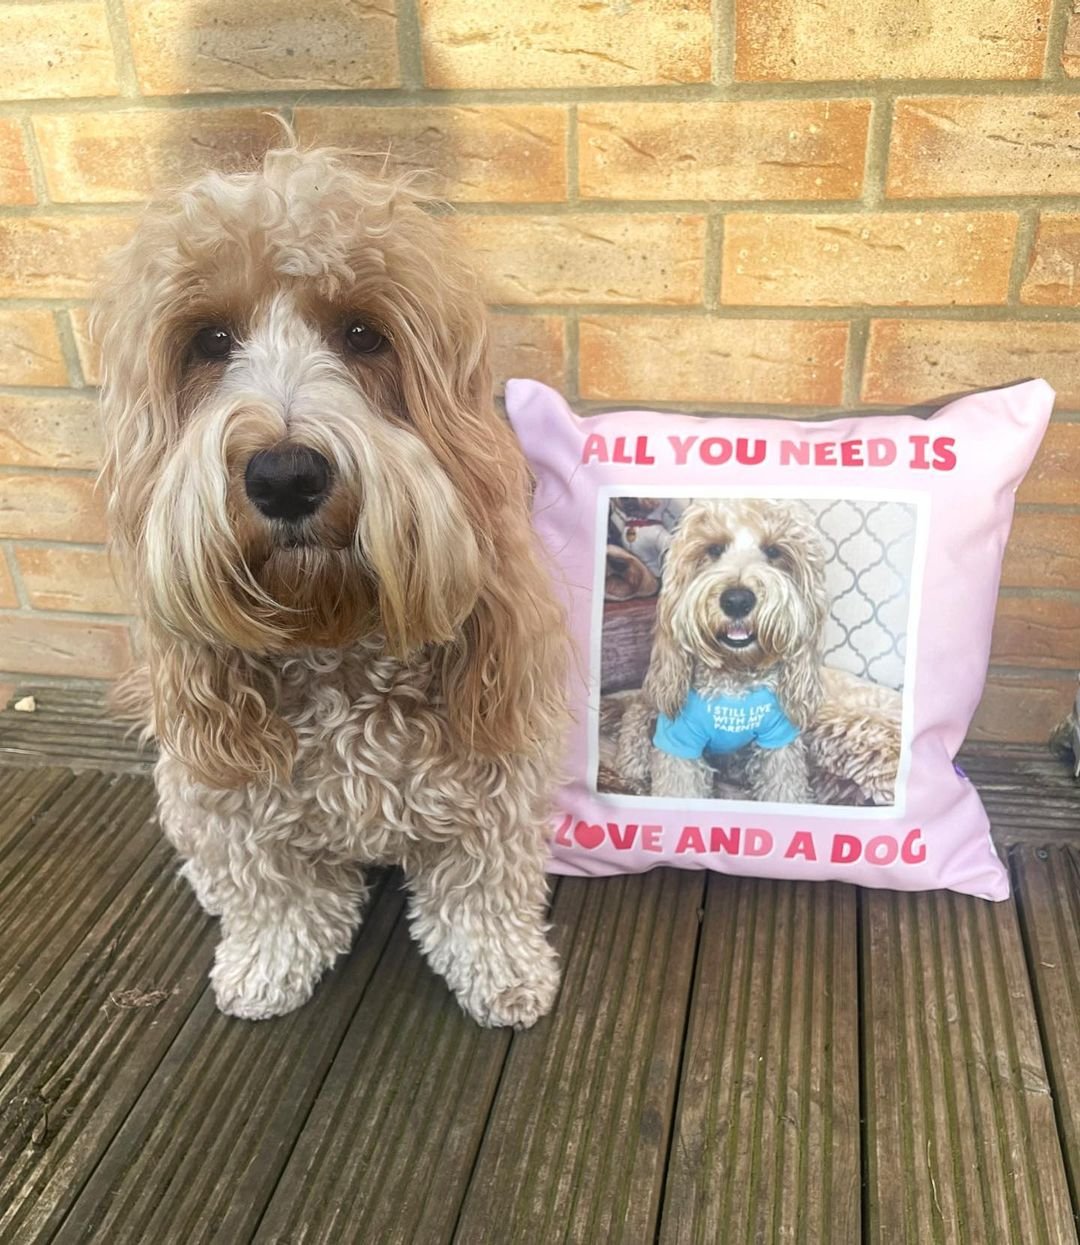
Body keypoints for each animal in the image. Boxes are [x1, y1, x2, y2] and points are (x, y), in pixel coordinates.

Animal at [90, 141, 575, 1025]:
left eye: (362, 333)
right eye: (209, 340)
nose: (285, 474)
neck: (334, 637)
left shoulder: (491, 782)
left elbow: (480, 893)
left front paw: (504, 971)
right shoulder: (238, 802)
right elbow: (277, 896)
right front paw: (266, 965)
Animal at [617, 498, 827, 801]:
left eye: (774, 551)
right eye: (714, 549)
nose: (737, 601)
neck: (735, 679)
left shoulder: (779, 742)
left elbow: (784, 788)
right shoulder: (678, 741)